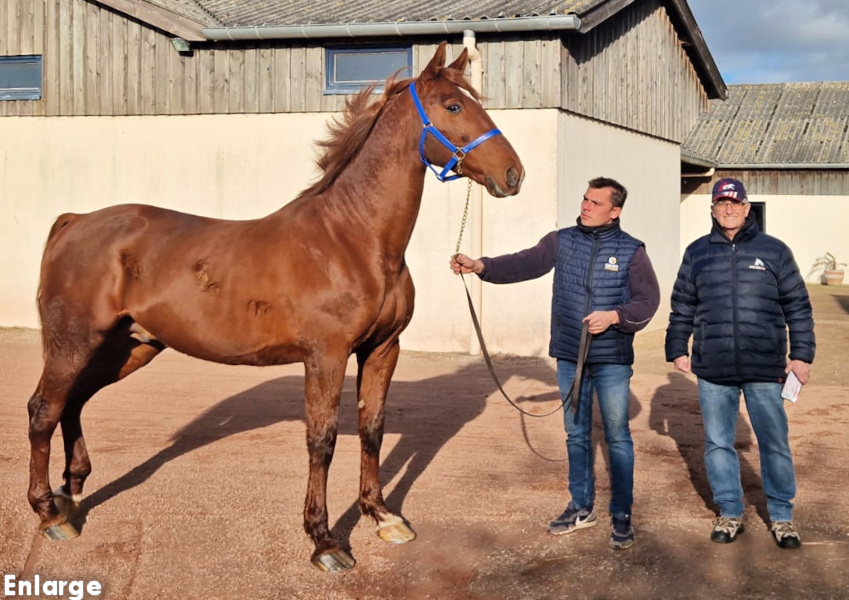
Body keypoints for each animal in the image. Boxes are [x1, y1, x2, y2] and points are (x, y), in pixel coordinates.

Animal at [26, 42, 524, 572]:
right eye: (453, 106)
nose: (513, 173)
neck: (352, 238)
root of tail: (75, 221)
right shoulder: (326, 356)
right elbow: (322, 440)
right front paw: (324, 540)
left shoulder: (382, 349)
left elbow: (373, 428)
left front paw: (382, 516)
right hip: (75, 342)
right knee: (44, 410)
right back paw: (49, 513)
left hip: (129, 347)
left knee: (72, 402)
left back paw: (72, 493)